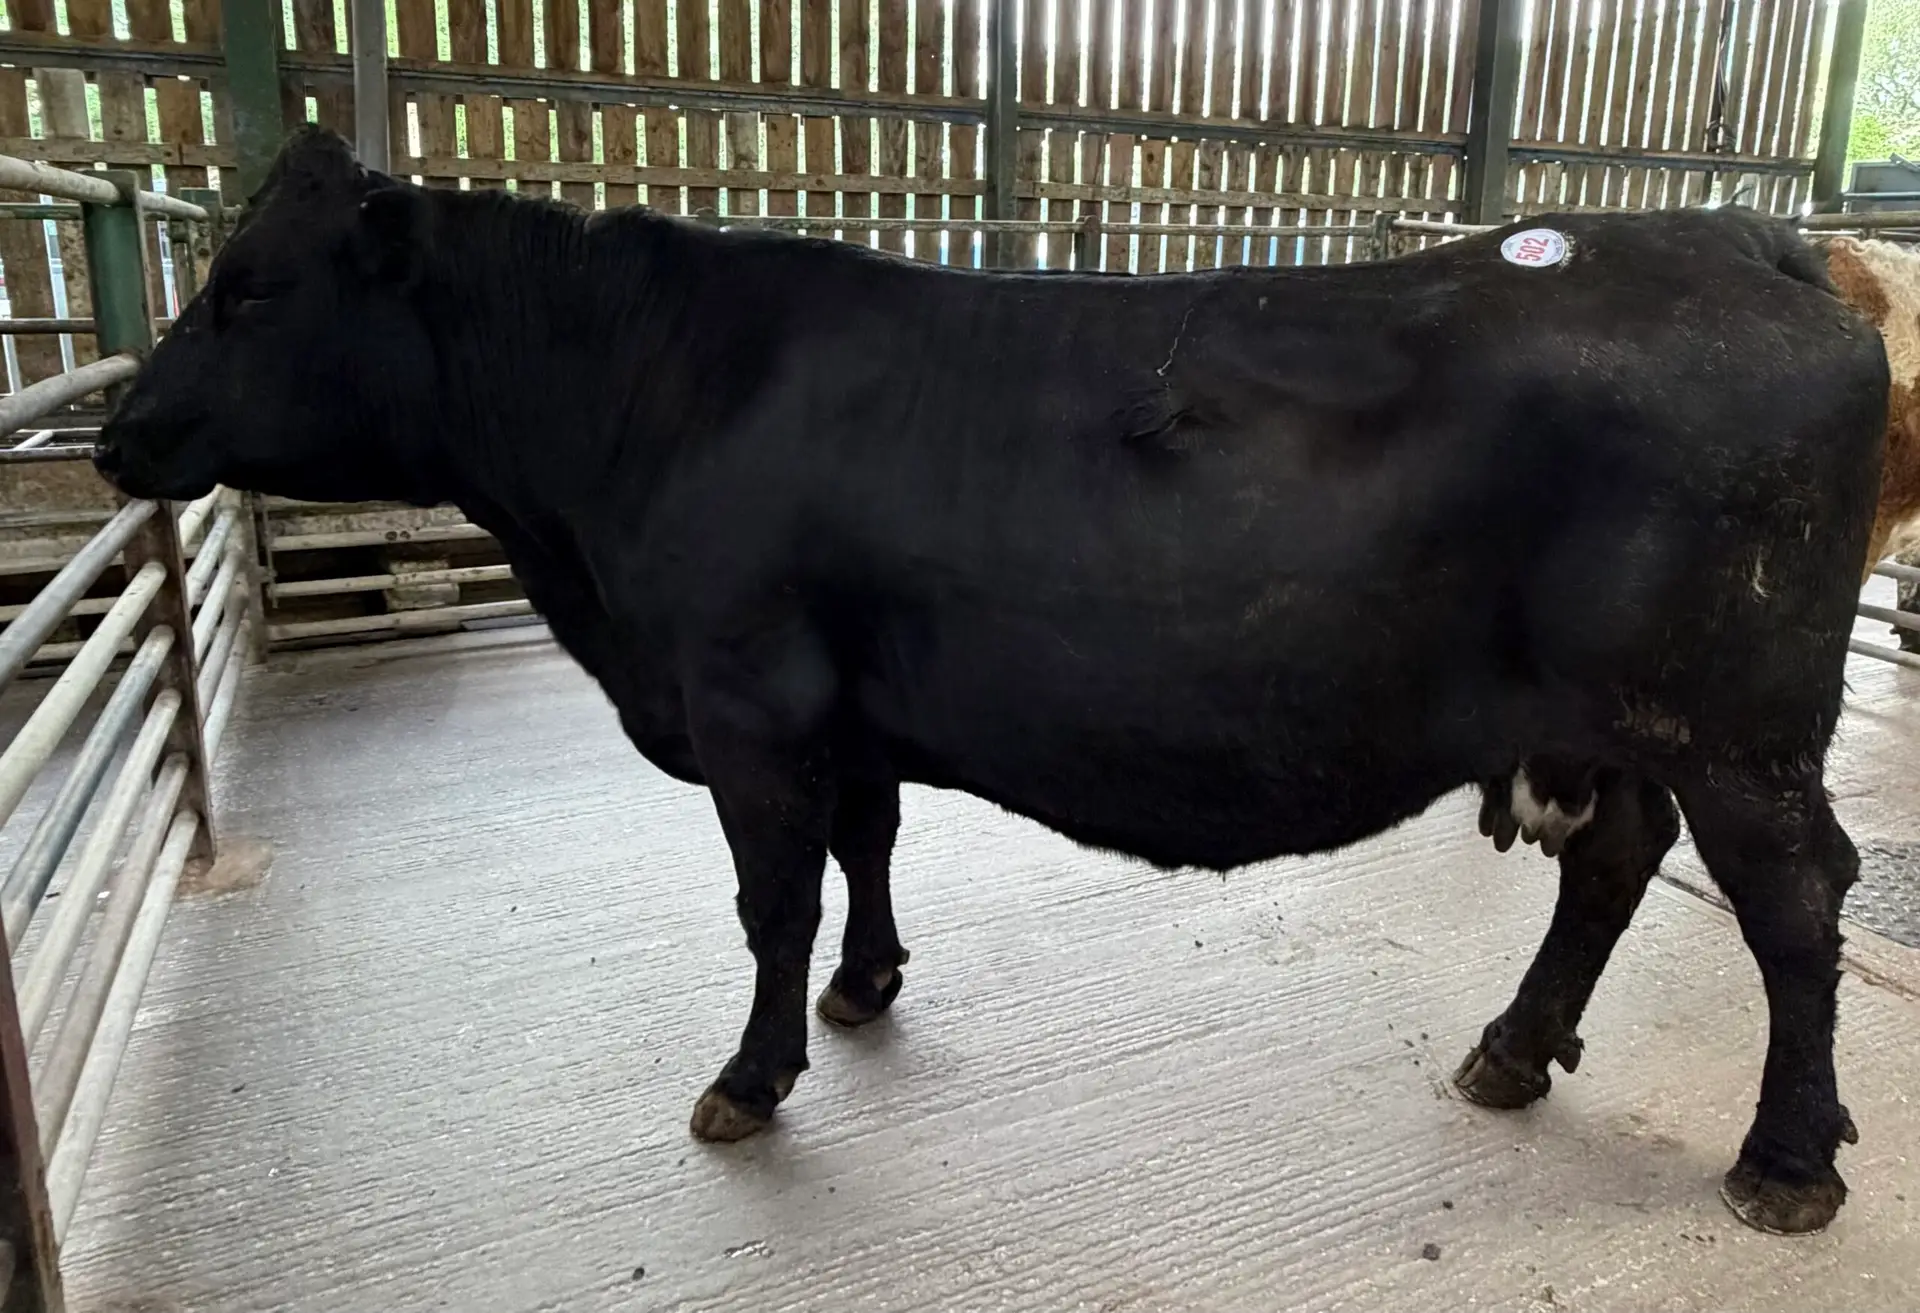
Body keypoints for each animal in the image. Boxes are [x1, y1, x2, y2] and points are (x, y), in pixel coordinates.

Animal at [94, 127, 1889, 1235]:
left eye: (250, 289)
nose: (116, 433)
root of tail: (1748, 238)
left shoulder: (746, 697)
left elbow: (772, 895)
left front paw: (751, 1075)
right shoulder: (846, 706)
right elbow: (866, 844)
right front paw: (868, 987)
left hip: (1743, 726)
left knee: (1800, 904)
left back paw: (1788, 1157)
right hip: (1631, 717)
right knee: (1615, 860)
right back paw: (1514, 1048)